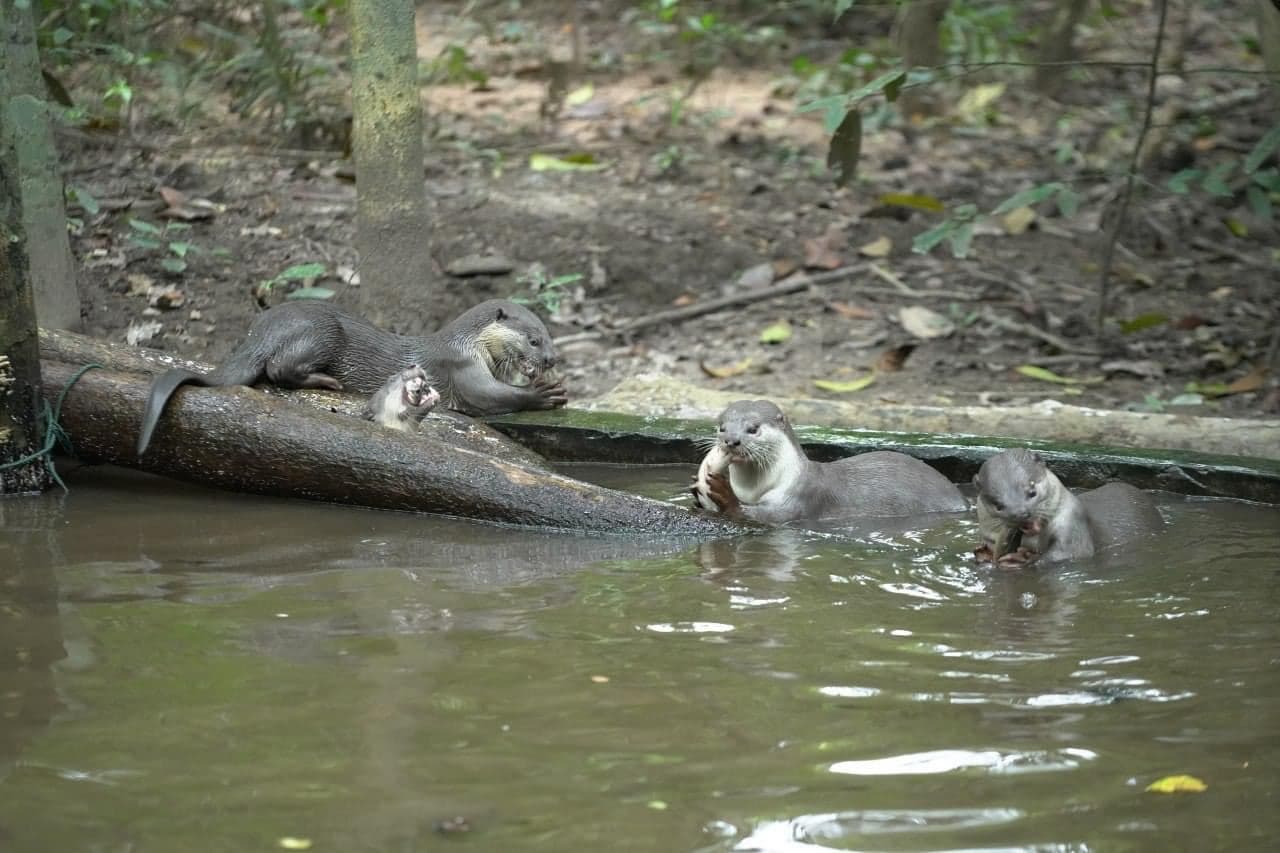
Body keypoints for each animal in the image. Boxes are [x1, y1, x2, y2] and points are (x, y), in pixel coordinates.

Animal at [133, 297, 565, 455]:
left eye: (549, 336)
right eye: (534, 339)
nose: (552, 358)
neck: (467, 343)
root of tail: (261, 330)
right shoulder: (461, 367)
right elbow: (492, 397)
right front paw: (545, 393)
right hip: (323, 331)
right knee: (277, 369)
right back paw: (328, 382)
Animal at [696, 399, 962, 525]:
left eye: (753, 428)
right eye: (722, 427)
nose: (731, 440)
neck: (753, 489)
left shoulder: (801, 494)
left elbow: (771, 515)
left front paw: (725, 496)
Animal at [972, 445, 1167, 563]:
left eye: (1032, 491)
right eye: (998, 505)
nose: (1020, 514)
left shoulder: (1073, 525)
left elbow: (1069, 553)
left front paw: (1024, 559)